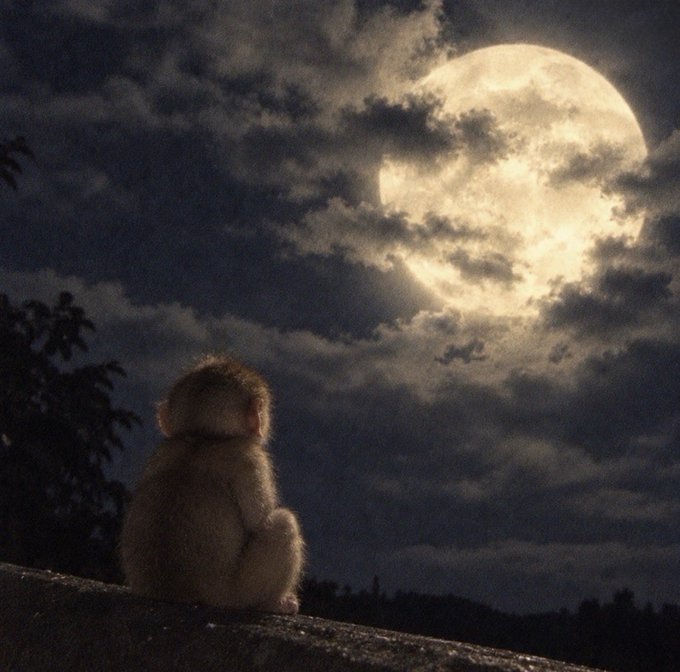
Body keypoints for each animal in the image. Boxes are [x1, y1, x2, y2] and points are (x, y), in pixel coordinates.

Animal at [120, 354, 304, 614]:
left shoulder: (161, 451)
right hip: (238, 593)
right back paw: (274, 603)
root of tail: (183, 593)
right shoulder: (251, 458)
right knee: (283, 523)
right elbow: (258, 521)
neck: (204, 437)